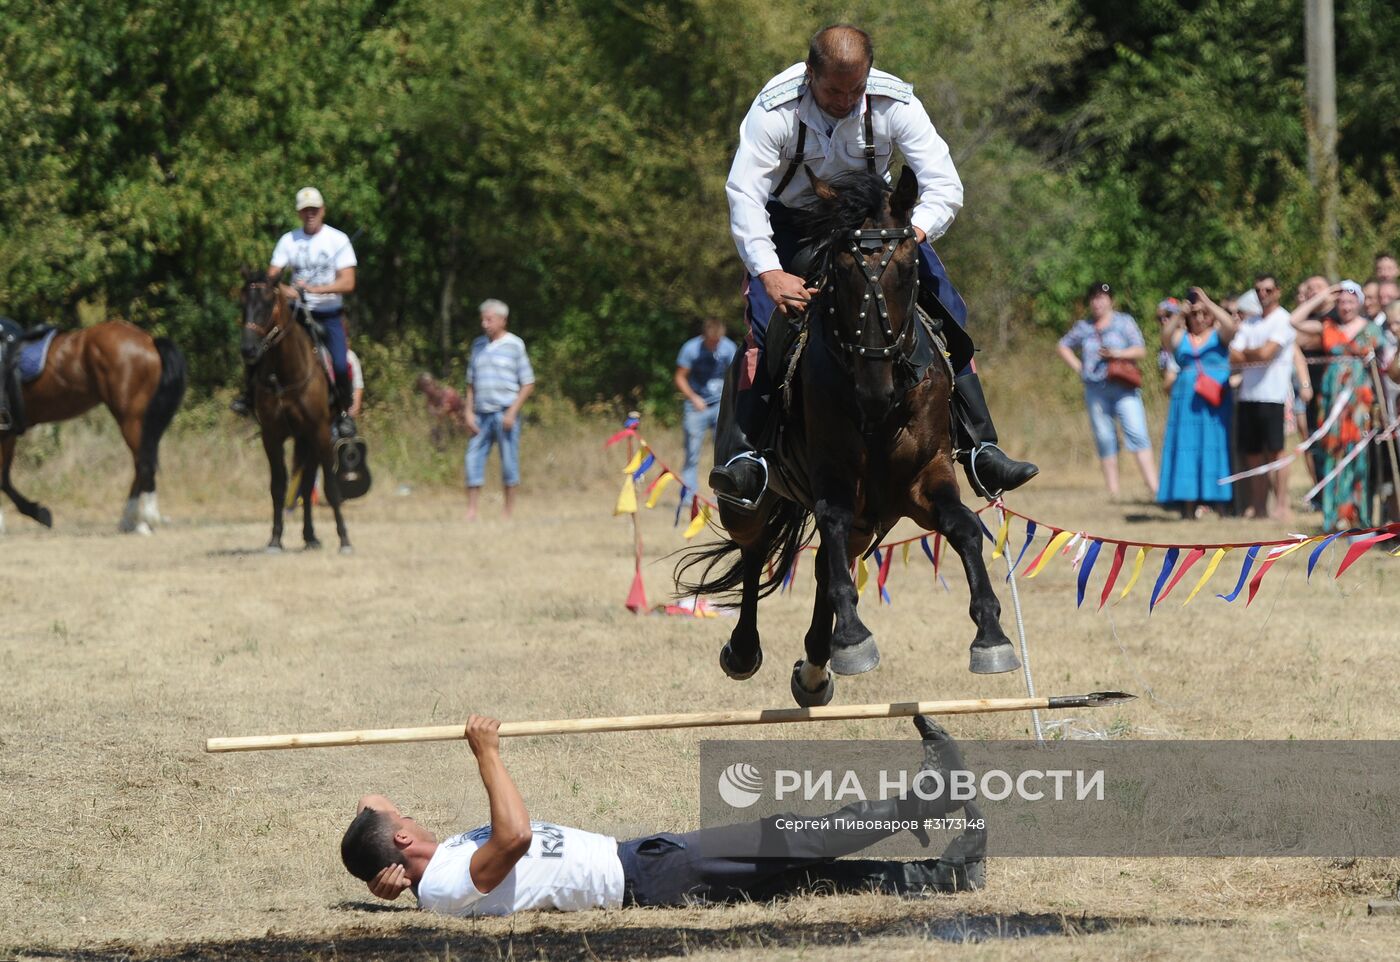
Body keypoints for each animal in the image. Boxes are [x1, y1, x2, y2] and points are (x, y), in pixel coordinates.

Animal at [0, 322, 186, 534]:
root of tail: (149, 341)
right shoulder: (8, 432)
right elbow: (4, 479)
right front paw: (37, 513)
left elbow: (2, 480)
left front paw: (37, 513)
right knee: (142, 464)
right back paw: (131, 521)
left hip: (131, 419)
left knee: (144, 464)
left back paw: (147, 517)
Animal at [240, 274, 350, 554]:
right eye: (242, 304)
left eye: (268, 304)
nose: (248, 349)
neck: (288, 373)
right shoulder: (271, 436)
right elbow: (278, 486)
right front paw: (275, 539)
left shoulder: (320, 432)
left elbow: (331, 487)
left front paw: (345, 540)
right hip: (303, 439)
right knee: (305, 482)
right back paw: (309, 536)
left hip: (312, 438)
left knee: (309, 481)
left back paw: (312, 537)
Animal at [680, 167, 1019, 708]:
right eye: (841, 273)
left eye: (907, 270)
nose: (875, 390)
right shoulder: (834, 479)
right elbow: (830, 526)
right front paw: (856, 637)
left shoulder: (923, 480)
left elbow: (963, 526)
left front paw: (991, 636)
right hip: (747, 500)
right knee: (756, 550)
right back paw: (747, 649)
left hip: (870, 519)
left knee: (823, 566)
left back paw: (817, 667)